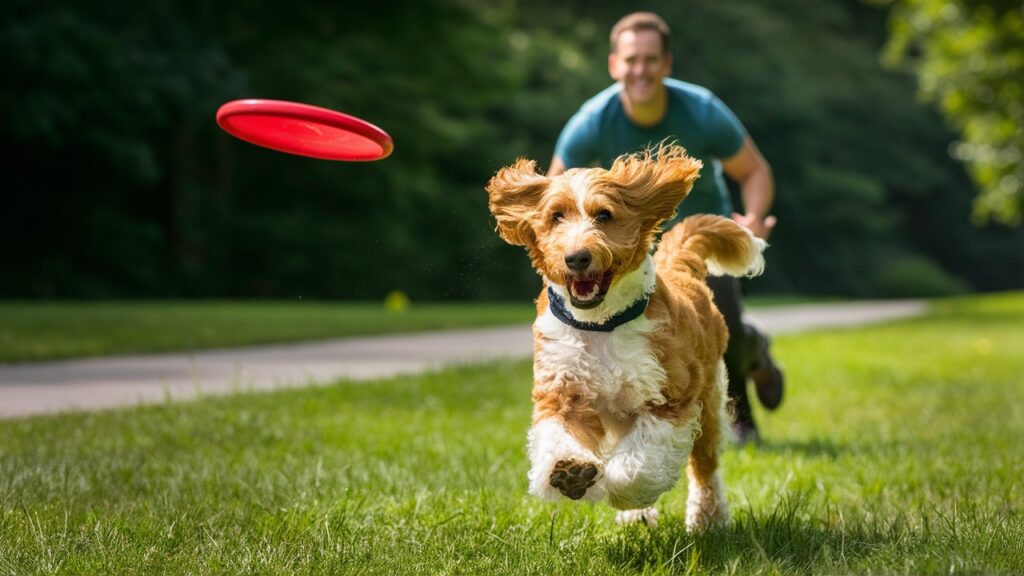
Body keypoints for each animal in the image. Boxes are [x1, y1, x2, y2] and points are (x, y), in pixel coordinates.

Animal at [483, 143, 765, 528]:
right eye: (556, 216)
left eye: (604, 215)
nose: (577, 257)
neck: (602, 325)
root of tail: (678, 267)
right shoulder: (562, 387)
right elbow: (560, 433)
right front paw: (570, 471)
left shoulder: (670, 399)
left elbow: (639, 465)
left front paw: (622, 490)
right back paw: (637, 514)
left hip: (709, 401)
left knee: (704, 465)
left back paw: (707, 517)